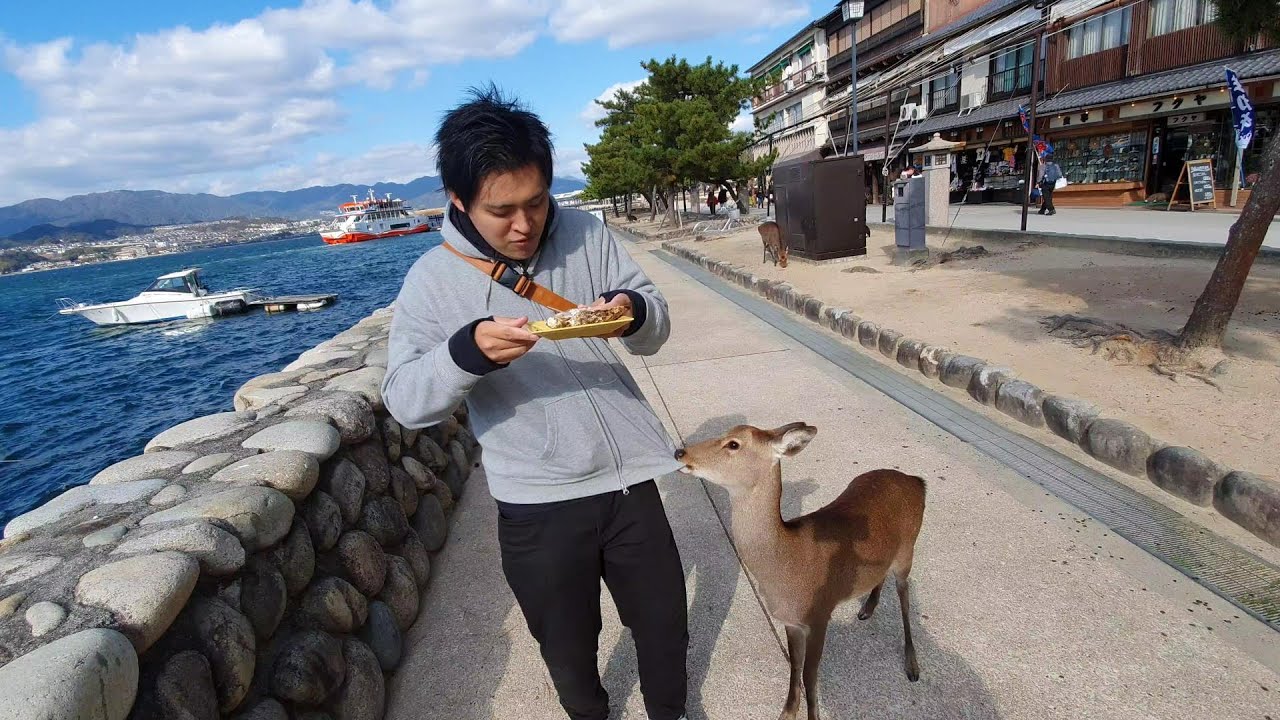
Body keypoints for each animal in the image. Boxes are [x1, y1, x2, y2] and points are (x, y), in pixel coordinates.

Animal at [675, 420, 926, 717]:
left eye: (733, 444)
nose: (680, 453)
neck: (788, 567)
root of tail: (917, 482)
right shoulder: (790, 620)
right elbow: (794, 664)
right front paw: (786, 712)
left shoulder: (819, 614)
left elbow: (810, 675)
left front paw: (812, 715)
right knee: (882, 574)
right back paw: (866, 609)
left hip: (908, 548)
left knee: (904, 594)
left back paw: (912, 665)